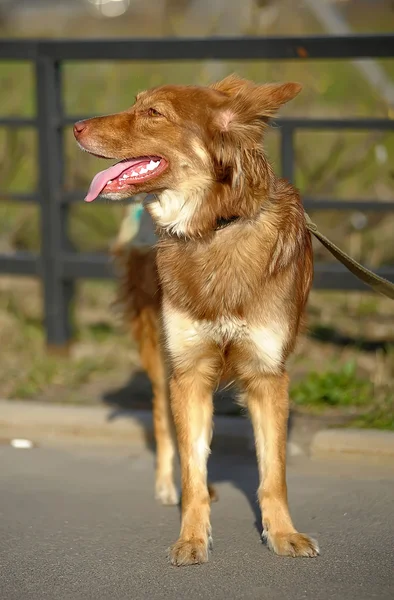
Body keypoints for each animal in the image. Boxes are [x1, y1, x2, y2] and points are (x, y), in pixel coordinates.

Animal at [74, 76, 320, 568]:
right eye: (137, 104)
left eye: (153, 113)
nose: (74, 127)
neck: (213, 228)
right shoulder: (188, 371)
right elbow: (191, 466)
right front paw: (191, 537)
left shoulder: (267, 374)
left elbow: (273, 472)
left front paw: (283, 534)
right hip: (160, 353)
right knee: (163, 420)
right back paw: (168, 486)